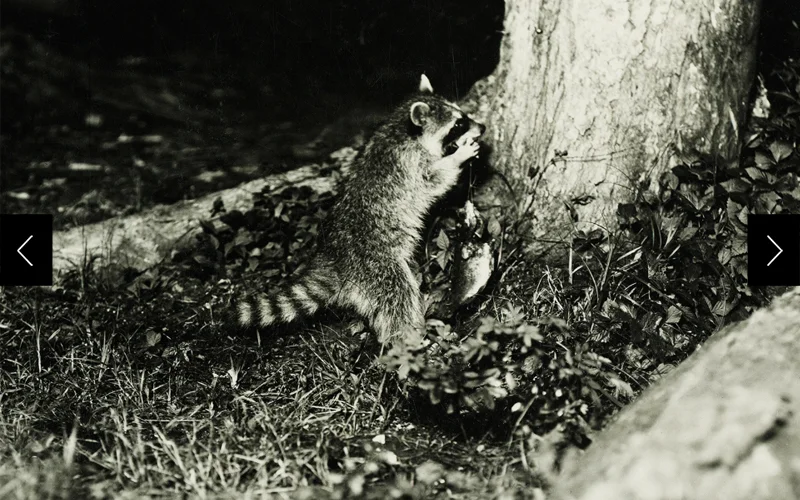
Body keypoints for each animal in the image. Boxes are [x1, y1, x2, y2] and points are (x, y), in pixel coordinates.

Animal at [237, 74, 486, 346]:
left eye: (462, 115)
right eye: (458, 123)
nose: (482, 127)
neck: (402, 128)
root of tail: (335, 262)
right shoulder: (410, 164)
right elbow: (434, 179)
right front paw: (458, 157)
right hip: (377, 266)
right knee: (397, 298)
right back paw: (408, 337)